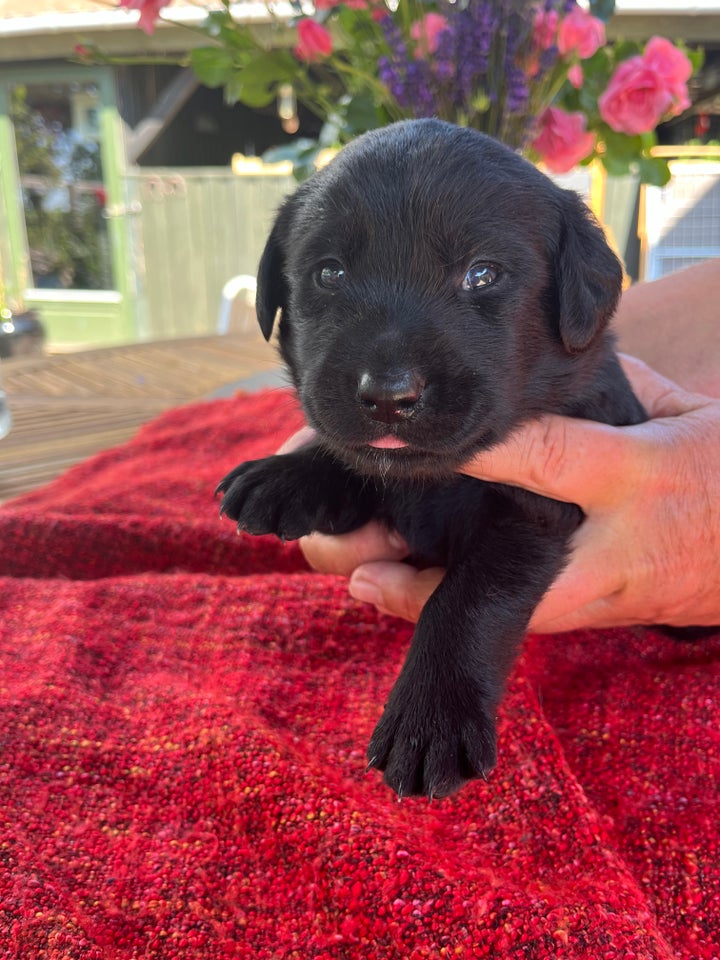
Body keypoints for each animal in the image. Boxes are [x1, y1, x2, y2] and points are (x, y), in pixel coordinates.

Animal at [215, 116, 648, 800]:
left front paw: (431, 717)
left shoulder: (537, 511)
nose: (388, 396)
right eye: (329, 274)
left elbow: (467, 597)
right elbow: (356, 459)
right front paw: (289, 476)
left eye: (483, 274)